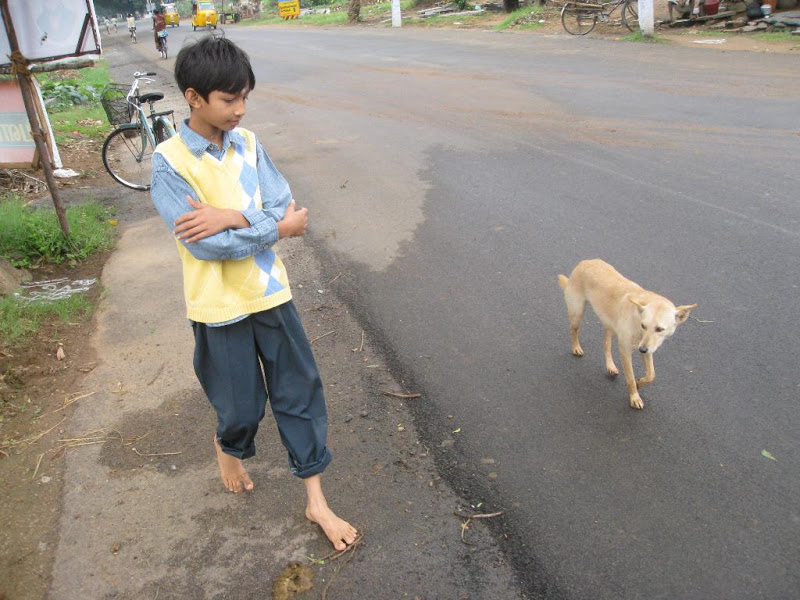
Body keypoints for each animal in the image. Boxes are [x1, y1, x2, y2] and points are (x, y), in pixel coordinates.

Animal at [560, 260, 696, 410]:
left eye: (659, 329)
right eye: (644, 325)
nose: (642, 349)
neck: (636, 319)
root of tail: (585, 262)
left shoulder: (647, 350)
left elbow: (651, 375)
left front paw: (639, 383)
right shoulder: (625, 351)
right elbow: (630, 377)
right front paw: (634, 396)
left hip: (610, 325)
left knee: (606, 344)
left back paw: (610, 365)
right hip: (577, 313)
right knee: (573, 331)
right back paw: (576, 348)